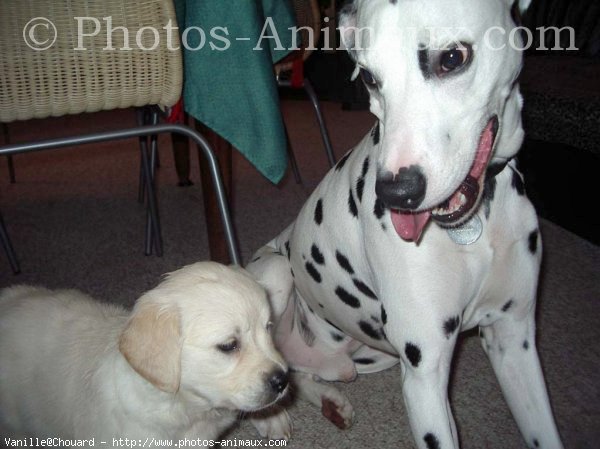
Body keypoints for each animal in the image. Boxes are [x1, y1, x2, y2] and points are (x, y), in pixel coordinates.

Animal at [246, 0, 564, 448]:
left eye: (452, 58)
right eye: (370, 78)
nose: (396, 193)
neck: (473, 230)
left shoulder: (513, 339)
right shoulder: (425, 375)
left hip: (371, 356)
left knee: (299, 373)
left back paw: (328, 398)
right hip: (275, 270)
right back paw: (268, 419)